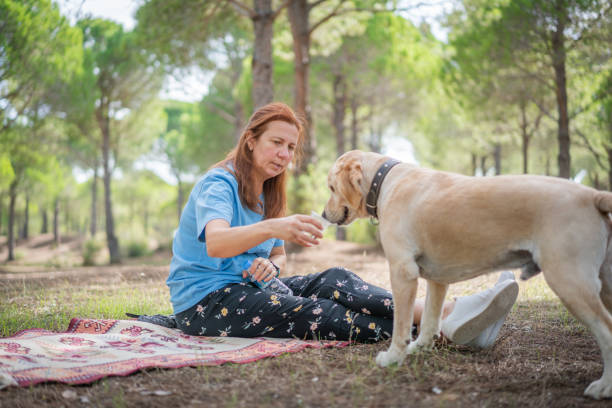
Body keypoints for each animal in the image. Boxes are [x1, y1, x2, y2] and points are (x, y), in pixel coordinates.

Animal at [326, 149, 612, 398]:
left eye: (330, 187)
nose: (323, 214)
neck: (385, 180)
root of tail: (592, 195)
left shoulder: (402, 272)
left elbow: (401, 324)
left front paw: (394, 357)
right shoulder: (437, 280)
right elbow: (429, 320)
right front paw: (421, 348)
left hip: (569, 282)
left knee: (606, 331)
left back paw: (603, 387)